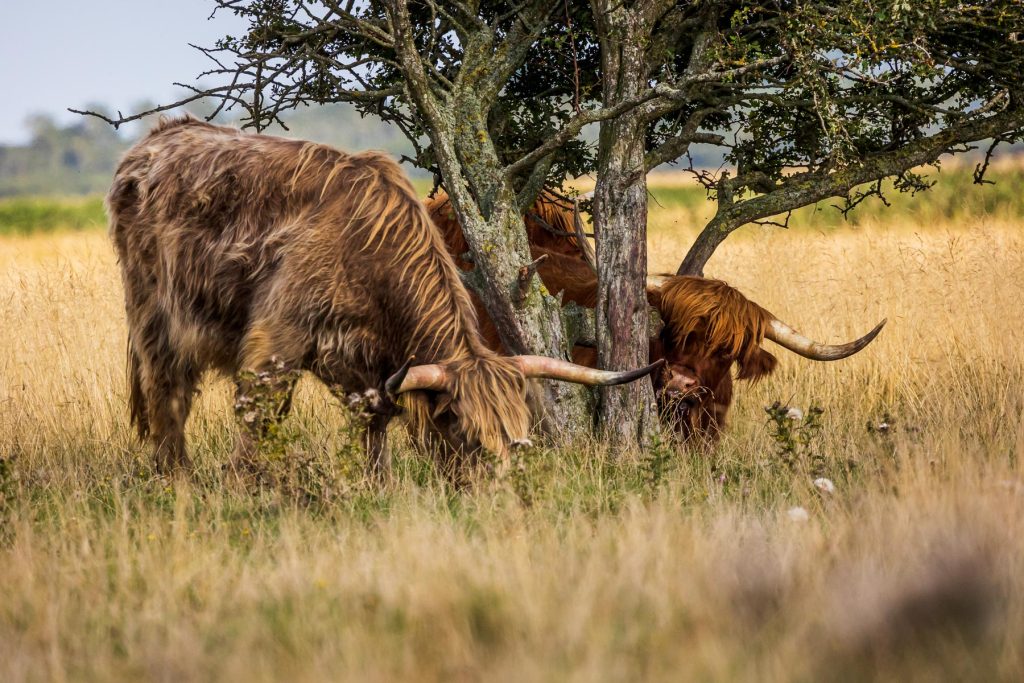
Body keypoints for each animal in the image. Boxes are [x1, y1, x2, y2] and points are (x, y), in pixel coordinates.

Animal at [108, 116, 659, 481]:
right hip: (155, 317)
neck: (366, 252)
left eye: (517, 440)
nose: (503, 495)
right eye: (469, 438)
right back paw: (174, 476)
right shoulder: (274, 343)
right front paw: (248, 486)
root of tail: (157, 137)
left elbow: (373, 431)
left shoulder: (373, 371)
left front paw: (378, 487)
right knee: (168, 394)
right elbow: (259, 416)